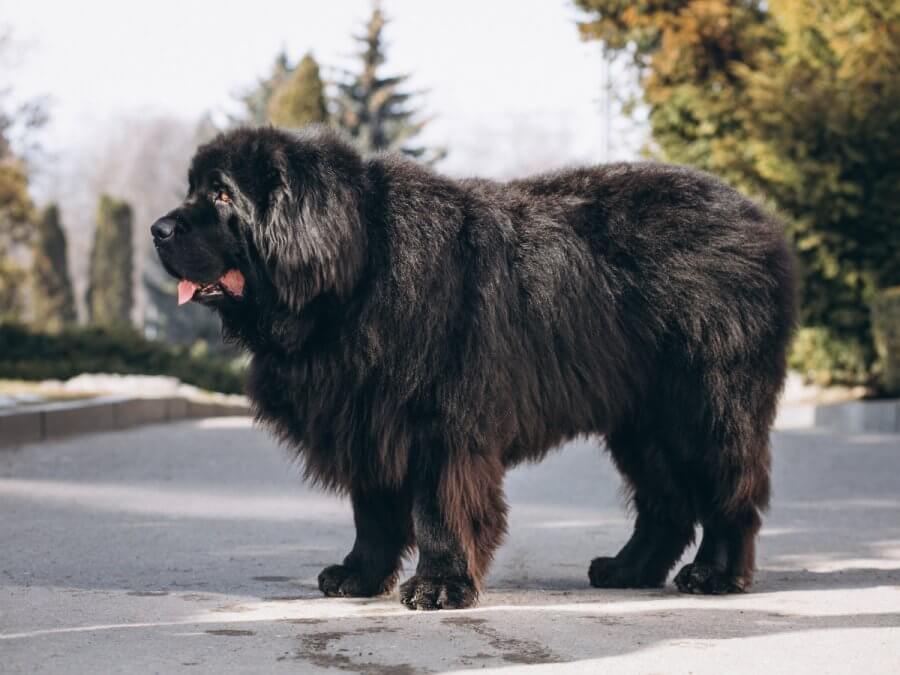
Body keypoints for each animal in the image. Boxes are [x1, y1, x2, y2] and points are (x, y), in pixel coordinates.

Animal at [153, 125, 796, 612]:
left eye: (222, 197)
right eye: (193, 190)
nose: (158, 230)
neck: (357, 273)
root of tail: (761, 222)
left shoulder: (439, 422)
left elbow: (437, 507)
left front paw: (439, 585)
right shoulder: (366, 417)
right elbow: (373, 512)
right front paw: (359, 575)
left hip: (705, 404)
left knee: (727, 490)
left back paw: (714, 574)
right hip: (641, 418)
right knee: (666, 501)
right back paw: (628, 569)